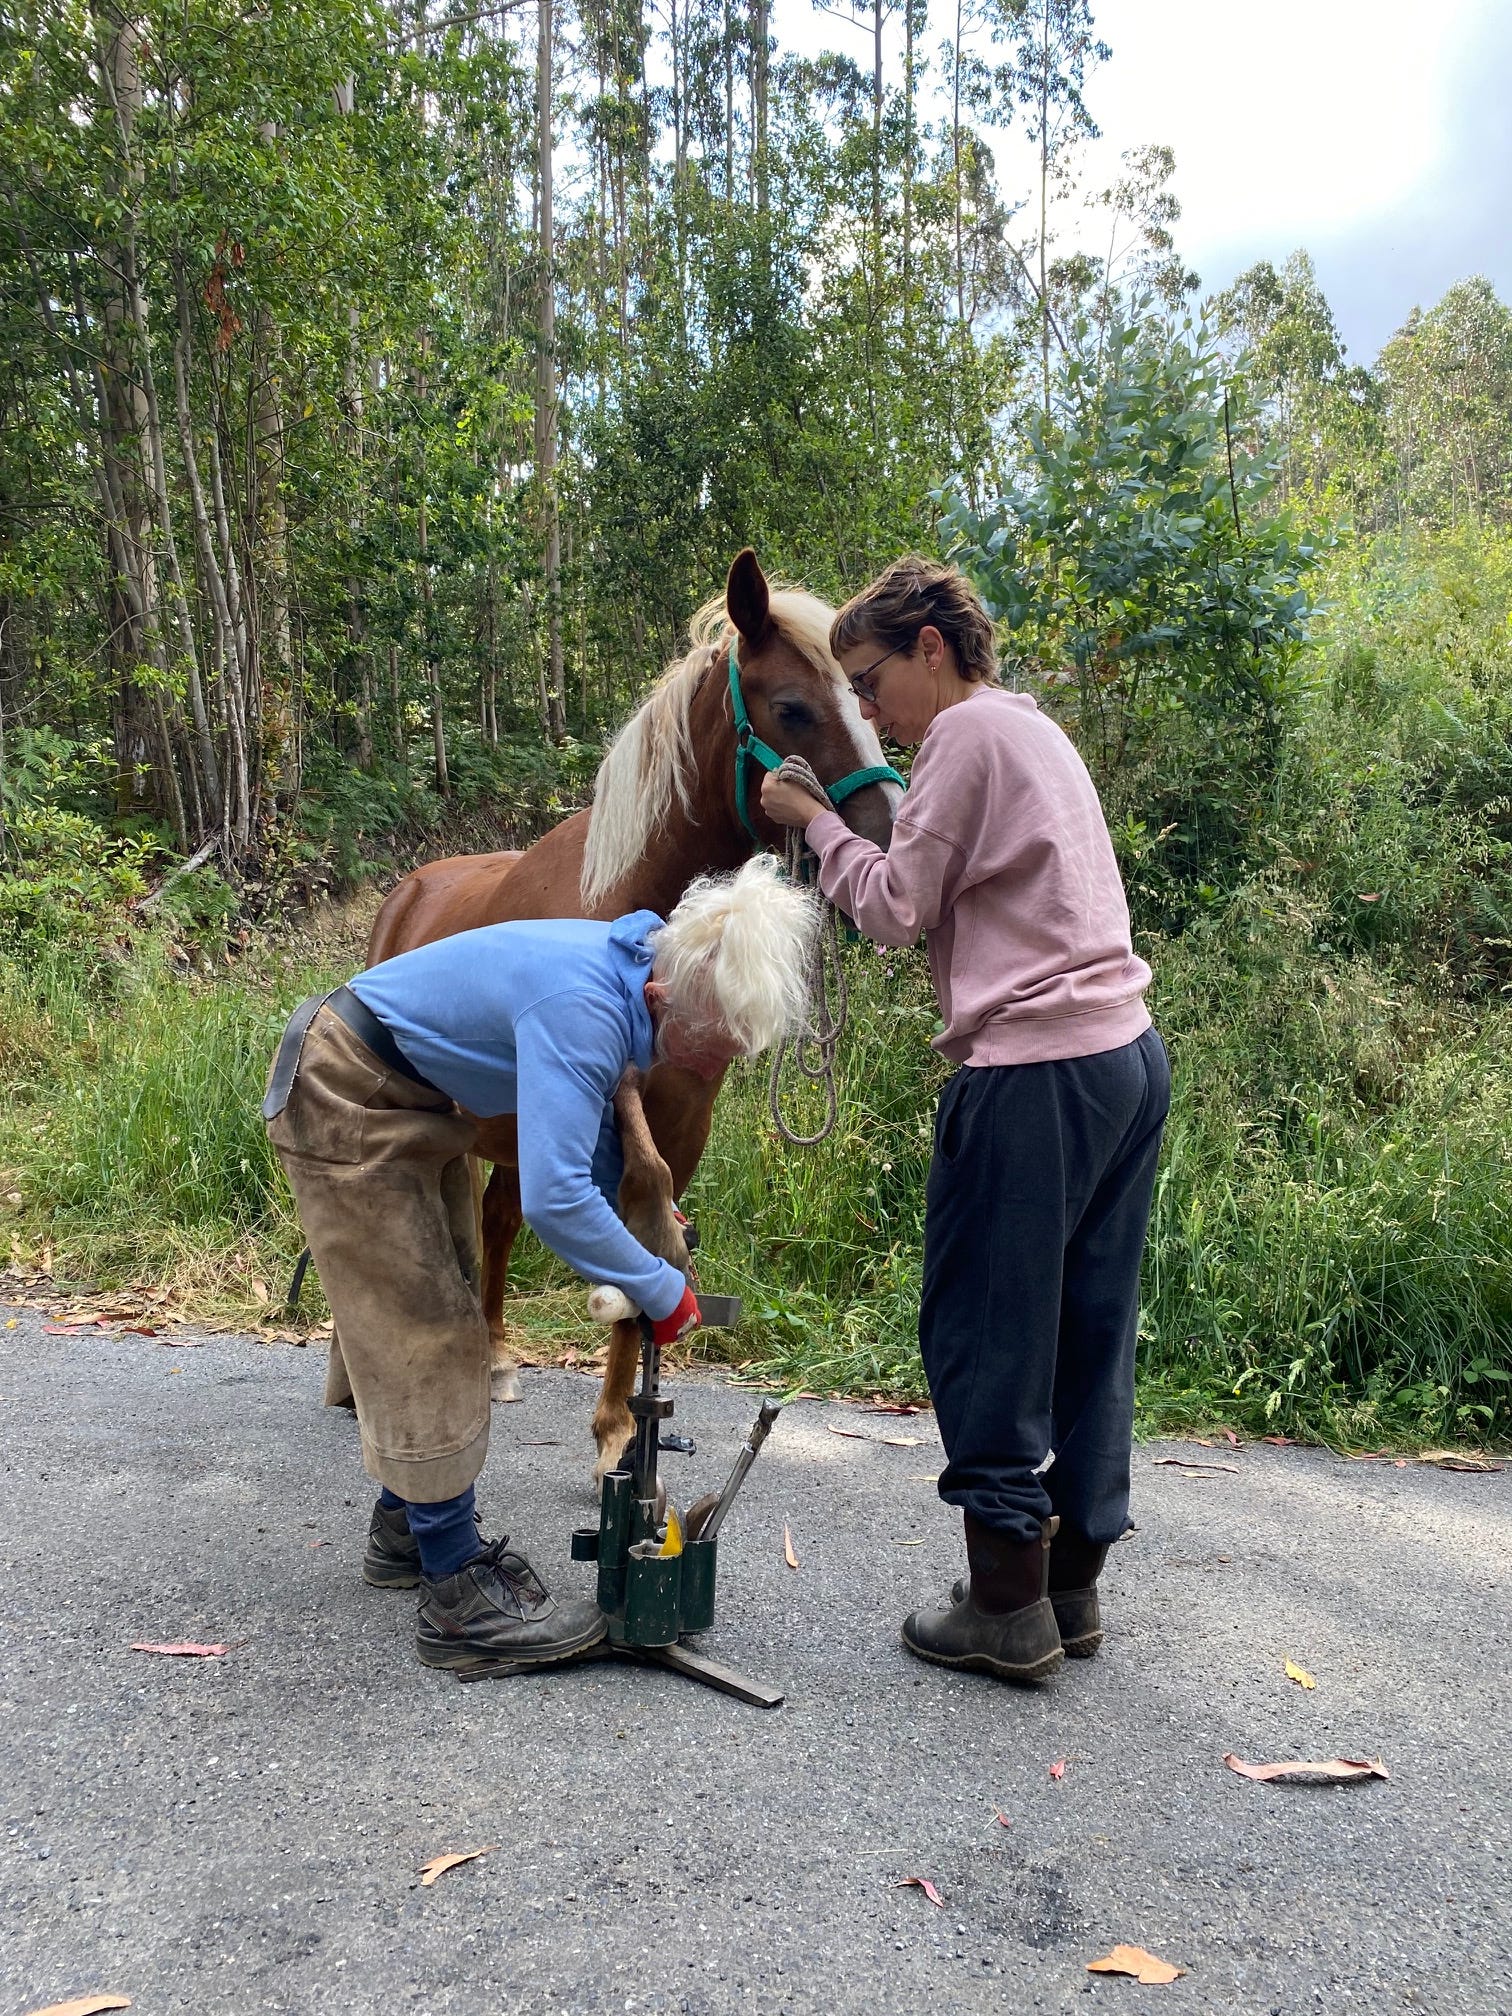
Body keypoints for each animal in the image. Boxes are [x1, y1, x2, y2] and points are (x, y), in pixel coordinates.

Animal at [363, 548, 901, 1478]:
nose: (892, 835)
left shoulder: (681, 1121)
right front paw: (618, 1423)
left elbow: (653, 1238)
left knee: (496, 1220)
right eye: (793, 707)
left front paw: (621, 1424)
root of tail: (408, 891)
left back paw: (495, 1351)